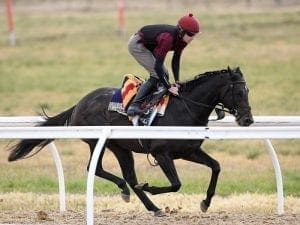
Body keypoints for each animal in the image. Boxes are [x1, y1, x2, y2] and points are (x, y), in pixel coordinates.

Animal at [7, 66, 253, 216]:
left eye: (248, 90)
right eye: (239, 92)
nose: (248, 119)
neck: (185, 108)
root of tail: (79, 103)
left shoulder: (188, 151)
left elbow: (216, 166)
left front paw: (206, 202)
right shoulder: (161, 153)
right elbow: (176, 184)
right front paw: (150, 187)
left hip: (121, 147)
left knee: (127, 175)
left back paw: (151, 206)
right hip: (99, 142)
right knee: (97, 169)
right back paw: (128, 191)